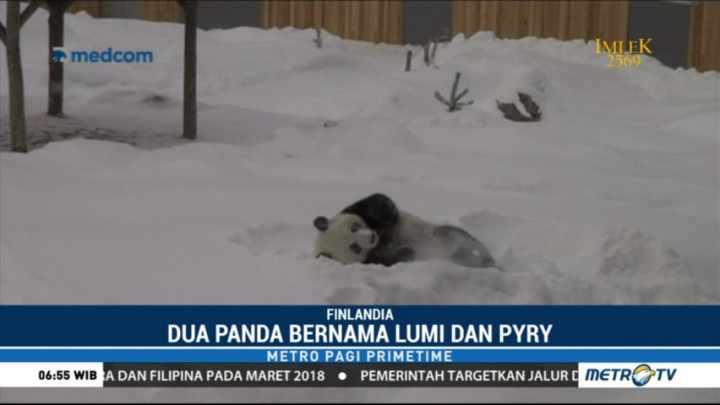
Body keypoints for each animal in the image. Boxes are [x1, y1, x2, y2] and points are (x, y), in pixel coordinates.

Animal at [313, 193, 498, 269]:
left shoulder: (353, 210)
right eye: (355, 247)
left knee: (462, 237)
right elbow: (394, 258)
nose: (370, 237)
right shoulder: (370, 260)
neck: (382, 237)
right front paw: (406, 251)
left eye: (354, 227)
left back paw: (486, 259)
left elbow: (378, 200)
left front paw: (385, 213)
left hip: (443, 235)